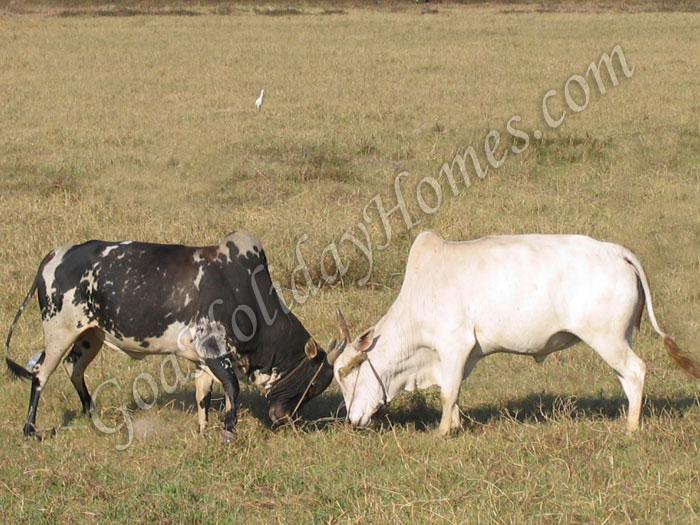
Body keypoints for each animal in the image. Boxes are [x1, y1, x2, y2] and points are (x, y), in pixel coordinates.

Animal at [6, 229, 342, 438]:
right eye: (313, 384)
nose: (284, 418)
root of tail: (55, 254)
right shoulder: (216, 350)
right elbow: (232, 389)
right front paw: (228, 431)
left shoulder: (204, 360)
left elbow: (204, 397)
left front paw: (204, 431)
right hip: (58, 331)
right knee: (40, 373)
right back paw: (30, 429)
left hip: (90, 336)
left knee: (73, 368)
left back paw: (91, 412)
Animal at [330, 232, 696, 434]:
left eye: (347, 372)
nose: (351, 421)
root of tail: (616, 251)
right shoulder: (462, 356)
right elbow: (456, 391)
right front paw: (456, 424)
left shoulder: (453, 345)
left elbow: (448, 392)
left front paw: (442, 431)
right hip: (618, 339)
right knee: (627, 378)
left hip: (607, 339)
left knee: (636, 371)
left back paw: (632, 428)